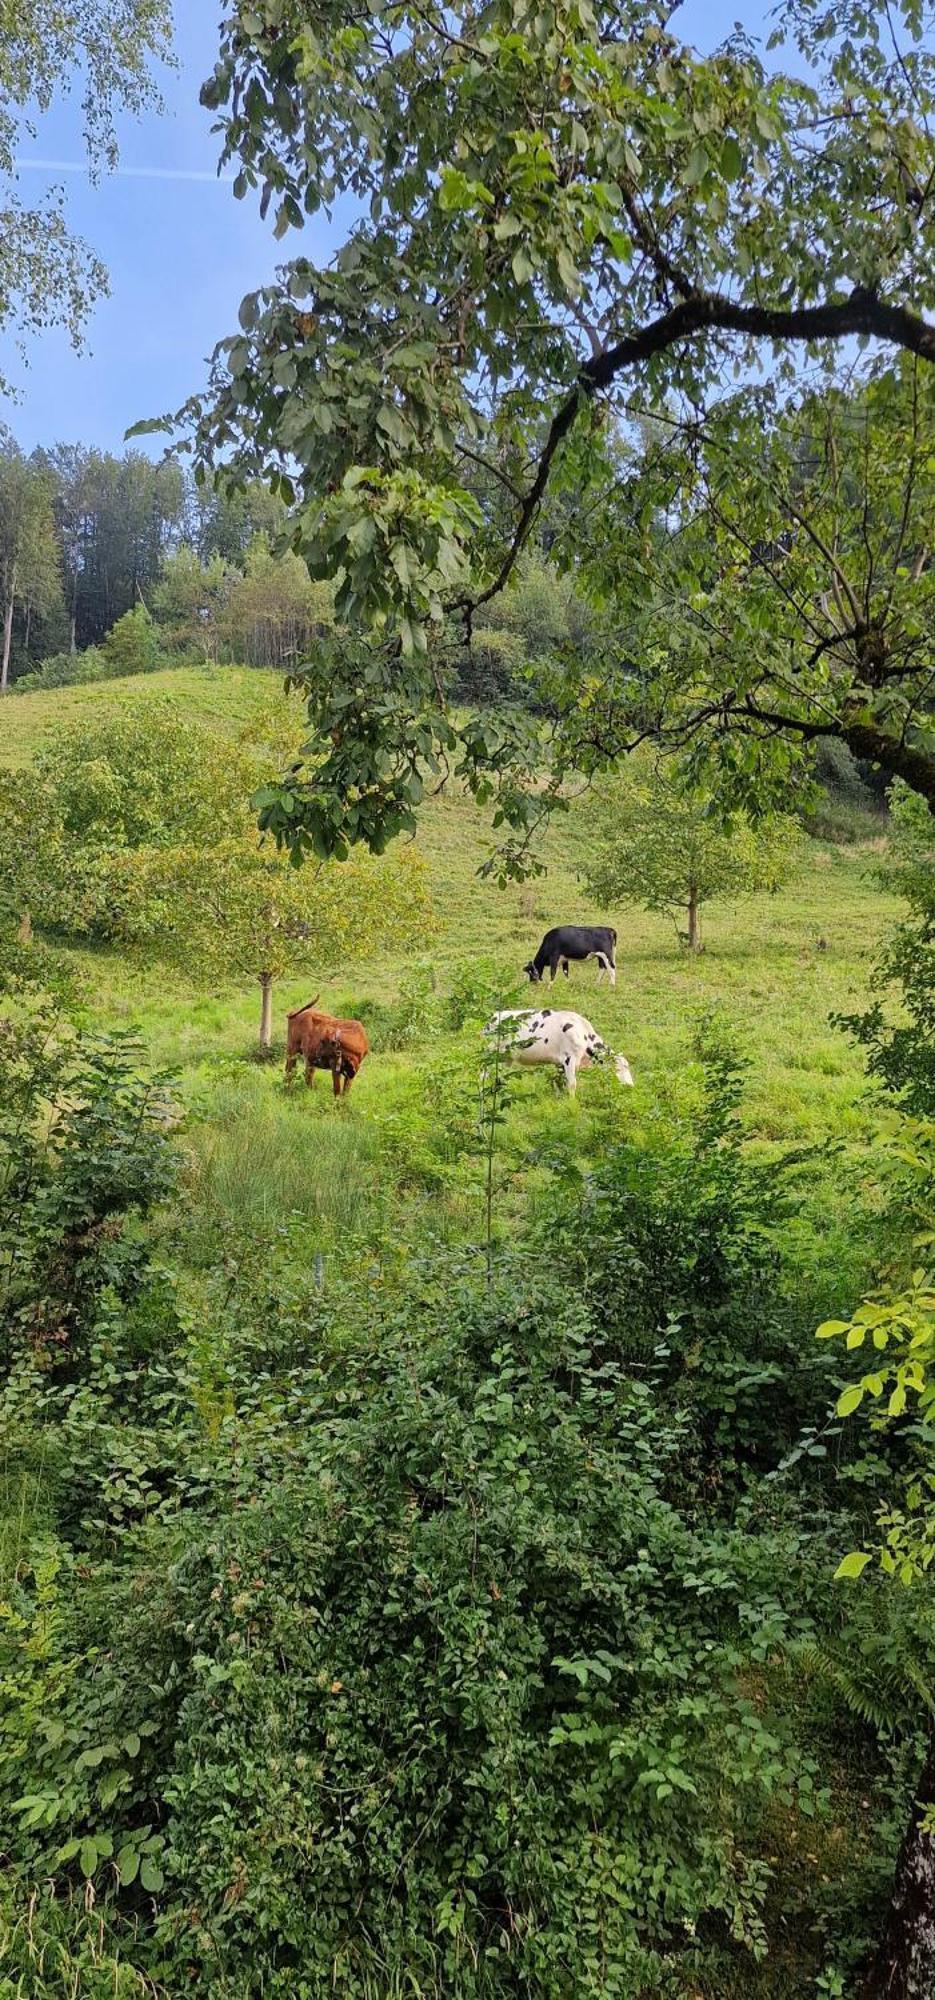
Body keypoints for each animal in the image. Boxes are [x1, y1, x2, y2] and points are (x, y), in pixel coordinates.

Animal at [485, 1008, 631, 1104]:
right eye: (620, 1068)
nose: (630, 1086)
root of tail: (493, 1016)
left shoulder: (560, 1063)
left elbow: (559, 1082)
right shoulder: (569, 1059)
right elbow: (572, 1084)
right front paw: (572, 1104)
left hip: (506, 1057)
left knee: (500, 1076)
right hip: (491, 1053)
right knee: (484, 1073)